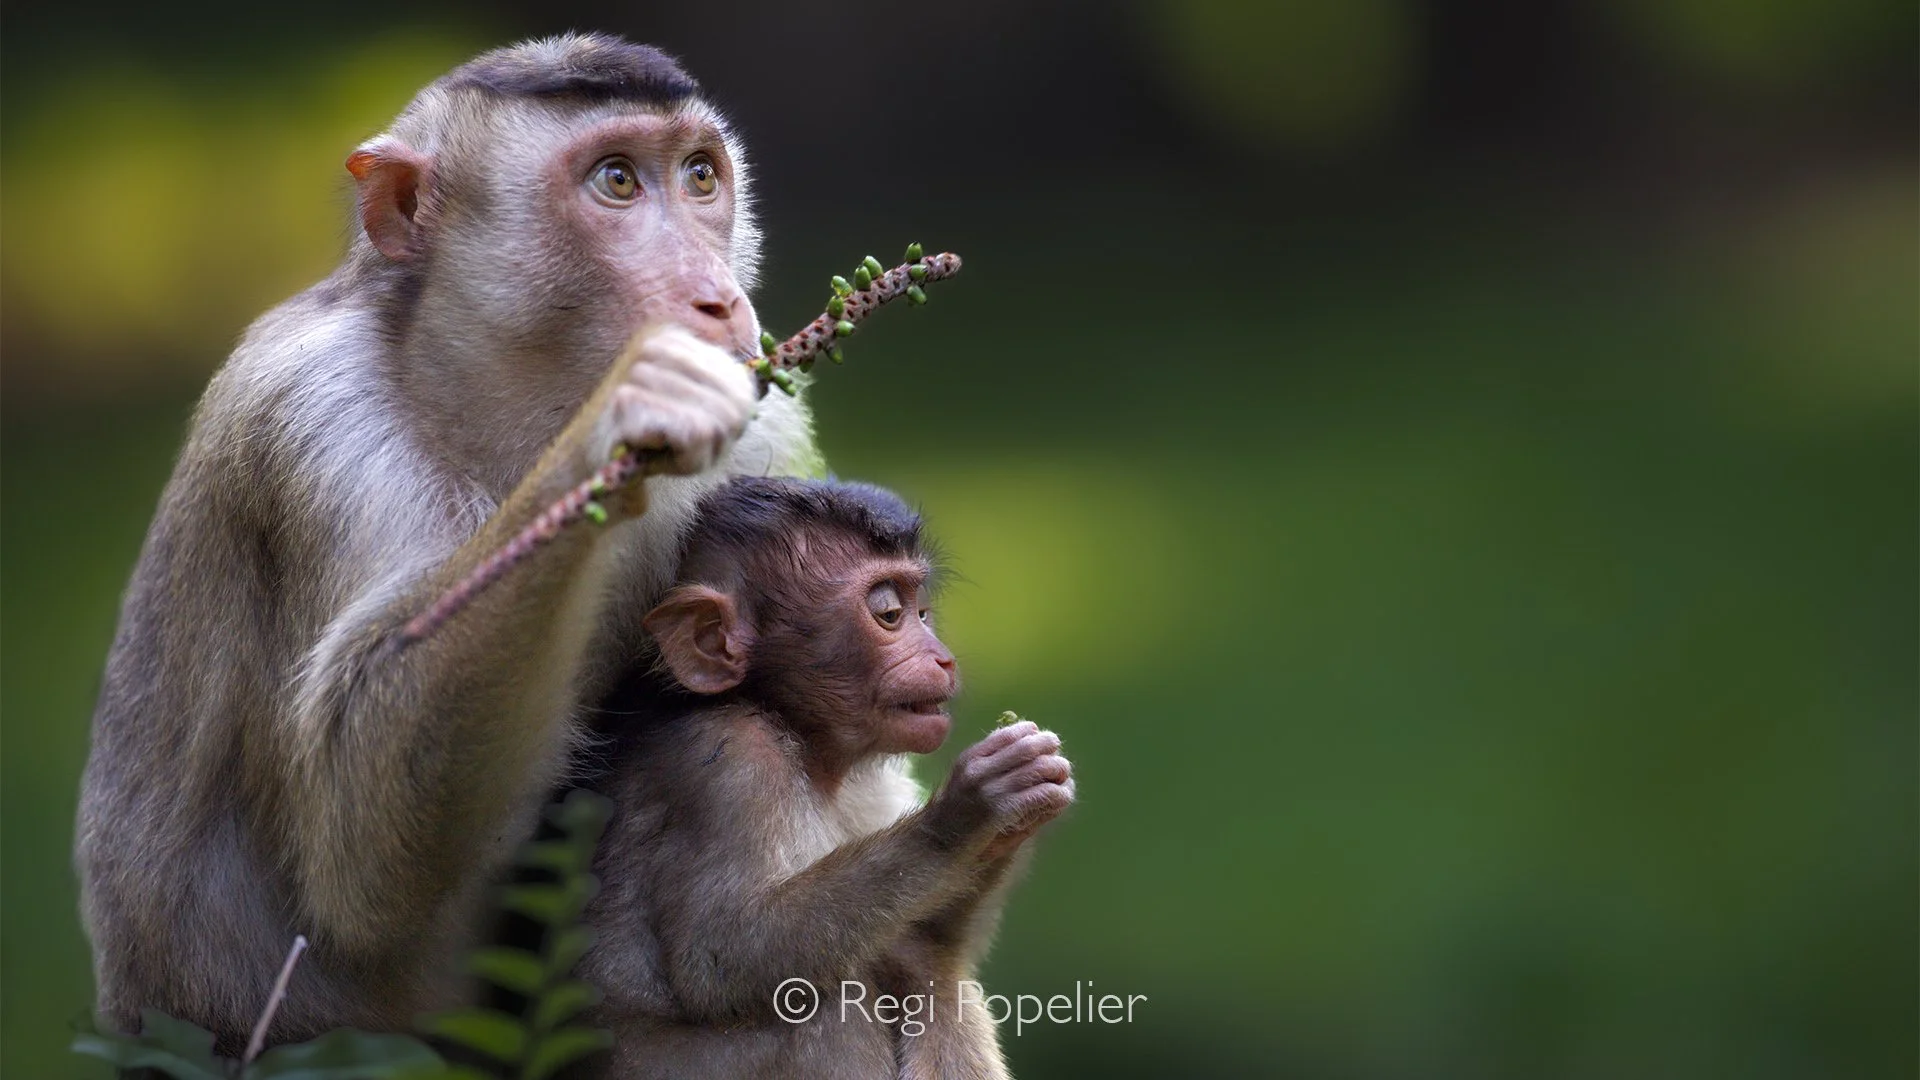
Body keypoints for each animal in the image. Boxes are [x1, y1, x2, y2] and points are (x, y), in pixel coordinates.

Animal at [74, 34, 823, 1051]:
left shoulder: (764, 428)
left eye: (701, 176)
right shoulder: (310, 426)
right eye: (617, 181)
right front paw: (620, 416)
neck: (496, 414)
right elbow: (364, 856)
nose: (715, 300)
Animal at [573, 476, 1074, 1080]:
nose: (943, 659)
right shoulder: (727, 763)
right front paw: (970, 811)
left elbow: (928, 936)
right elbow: (721, 959)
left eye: (922, 611)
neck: (798, 733)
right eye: (889, 612)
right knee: (820, 1000)